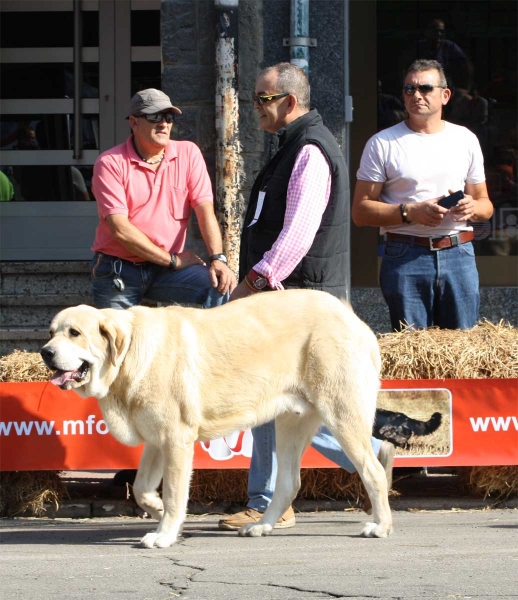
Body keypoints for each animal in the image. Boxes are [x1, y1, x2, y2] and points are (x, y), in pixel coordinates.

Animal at [41, 290, 394, 548]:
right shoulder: (157, 442)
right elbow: (141, 488)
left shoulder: (176, 440)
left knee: (373, 471)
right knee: (289, 482)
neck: (128, 355)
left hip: (341, 415)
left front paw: (165, 532)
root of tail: (351, 316)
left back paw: (381, 524)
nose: (45, 352)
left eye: (74, 333)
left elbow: (174, 492)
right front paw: (158, 511)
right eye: (52, 332)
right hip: (291, 424)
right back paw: (261, 526)